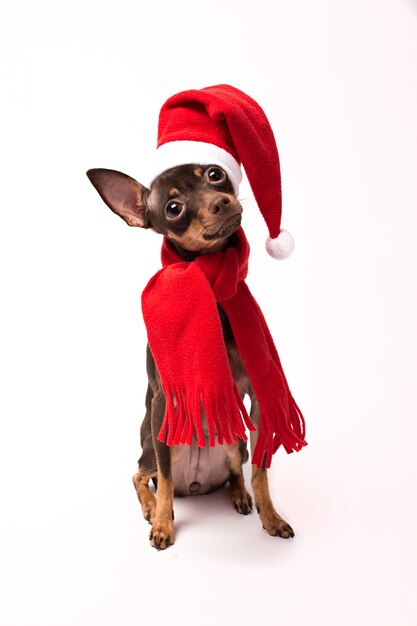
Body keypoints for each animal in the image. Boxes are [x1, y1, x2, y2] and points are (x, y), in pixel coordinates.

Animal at [87, 162, 296, 544]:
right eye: (173, 209)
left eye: (214, 174)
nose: (220, 202)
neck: (211, 287)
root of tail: (197, 486)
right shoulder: (163, 403)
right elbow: (167, 480)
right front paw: (162, 524)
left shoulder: (258, 398)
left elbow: (260, 472)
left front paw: (271, 516)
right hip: (155, 443)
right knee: (143, 474)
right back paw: (152, 506)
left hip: (235, 443)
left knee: (235, 472)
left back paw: (240, 496)